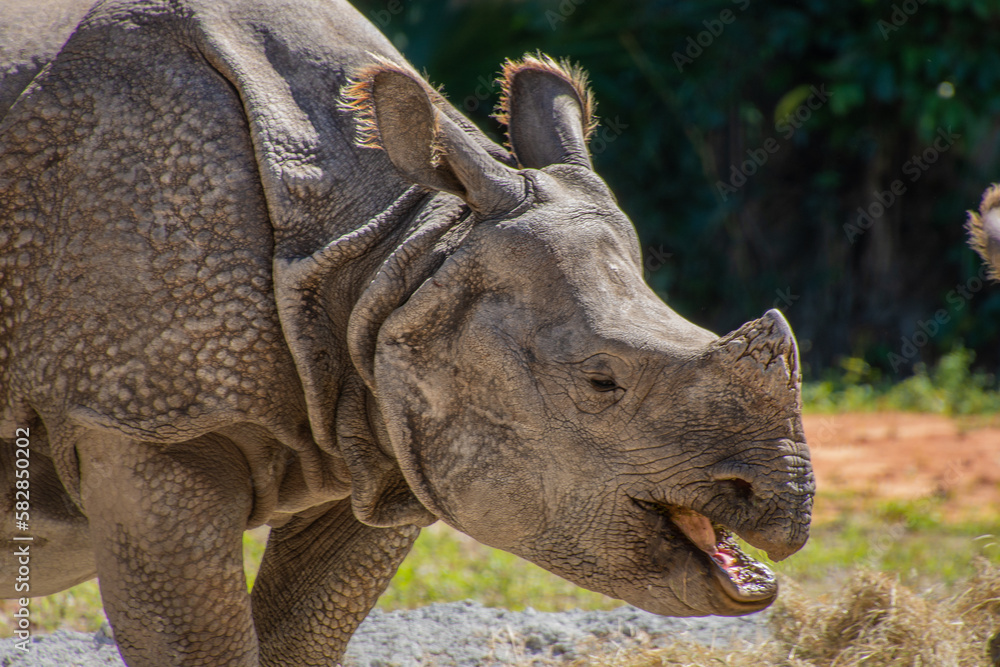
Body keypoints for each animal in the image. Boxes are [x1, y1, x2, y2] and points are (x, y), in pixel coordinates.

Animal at [0, 0, 814, 664]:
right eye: (600, 381)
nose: (790, 504)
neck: (388, 254)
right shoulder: (143, 421)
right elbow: (200, 644)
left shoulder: (386, 421)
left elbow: (301, 633)